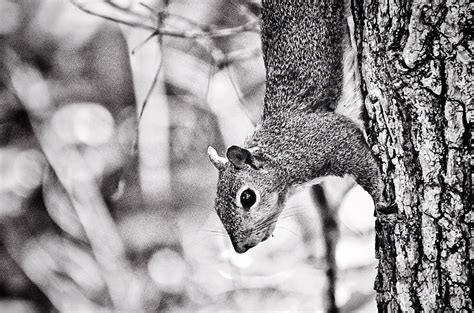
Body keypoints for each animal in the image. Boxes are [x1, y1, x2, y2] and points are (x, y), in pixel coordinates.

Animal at [208, 0, 388, 252]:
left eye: (247, 197)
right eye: (216, 207)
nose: (240, 248)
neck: (281, 153)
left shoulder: (332, 138)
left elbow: (364, 167)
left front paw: (380, 198)